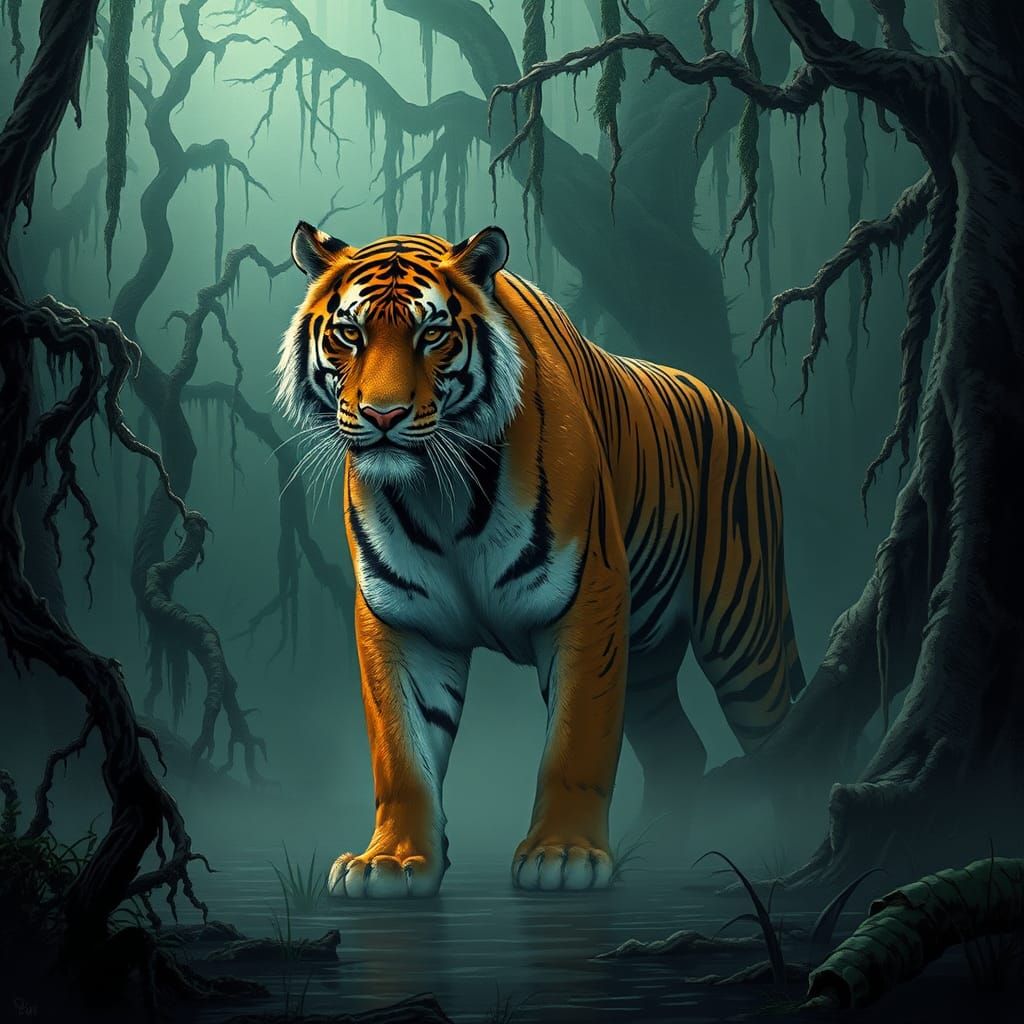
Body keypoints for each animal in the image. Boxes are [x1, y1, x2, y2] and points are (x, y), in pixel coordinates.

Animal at [278, 222, 805, 898]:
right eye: (351, 334)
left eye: (431, 335)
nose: (383, 415)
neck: (440, 495)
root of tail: (730, 407)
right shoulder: (399, 620)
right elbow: (401, 753)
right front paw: (390, 861)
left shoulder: (589, 600)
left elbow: (575, 744)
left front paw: (564, 853)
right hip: (648, 659)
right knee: (680, 750)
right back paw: (657, 853)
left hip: (743, 634)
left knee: (782, 743)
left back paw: (785, 858)